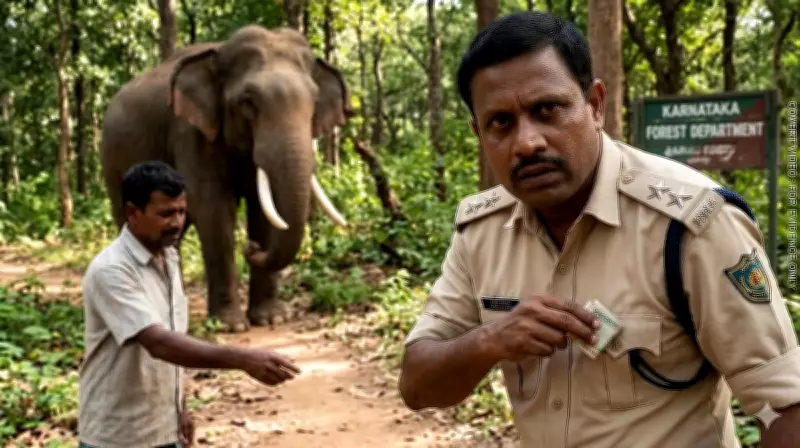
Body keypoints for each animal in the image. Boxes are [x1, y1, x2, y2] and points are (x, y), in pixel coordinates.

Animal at [99, 25, 353, 332]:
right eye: (248, 102)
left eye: (314, 102)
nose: (252, 248)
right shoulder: (190, 132)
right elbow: (213, 209)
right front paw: (230, 326)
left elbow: (262, 212)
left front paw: (271, 319)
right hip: (113, 166)